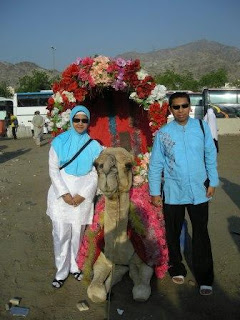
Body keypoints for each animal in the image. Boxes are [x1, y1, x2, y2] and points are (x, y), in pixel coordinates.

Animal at [86, 148, 154, 302]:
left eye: (128, 165)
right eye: (95, 164)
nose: (106, 170)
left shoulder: (142, 256)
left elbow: (141, 290)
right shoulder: (104, 257)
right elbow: (95, 292)